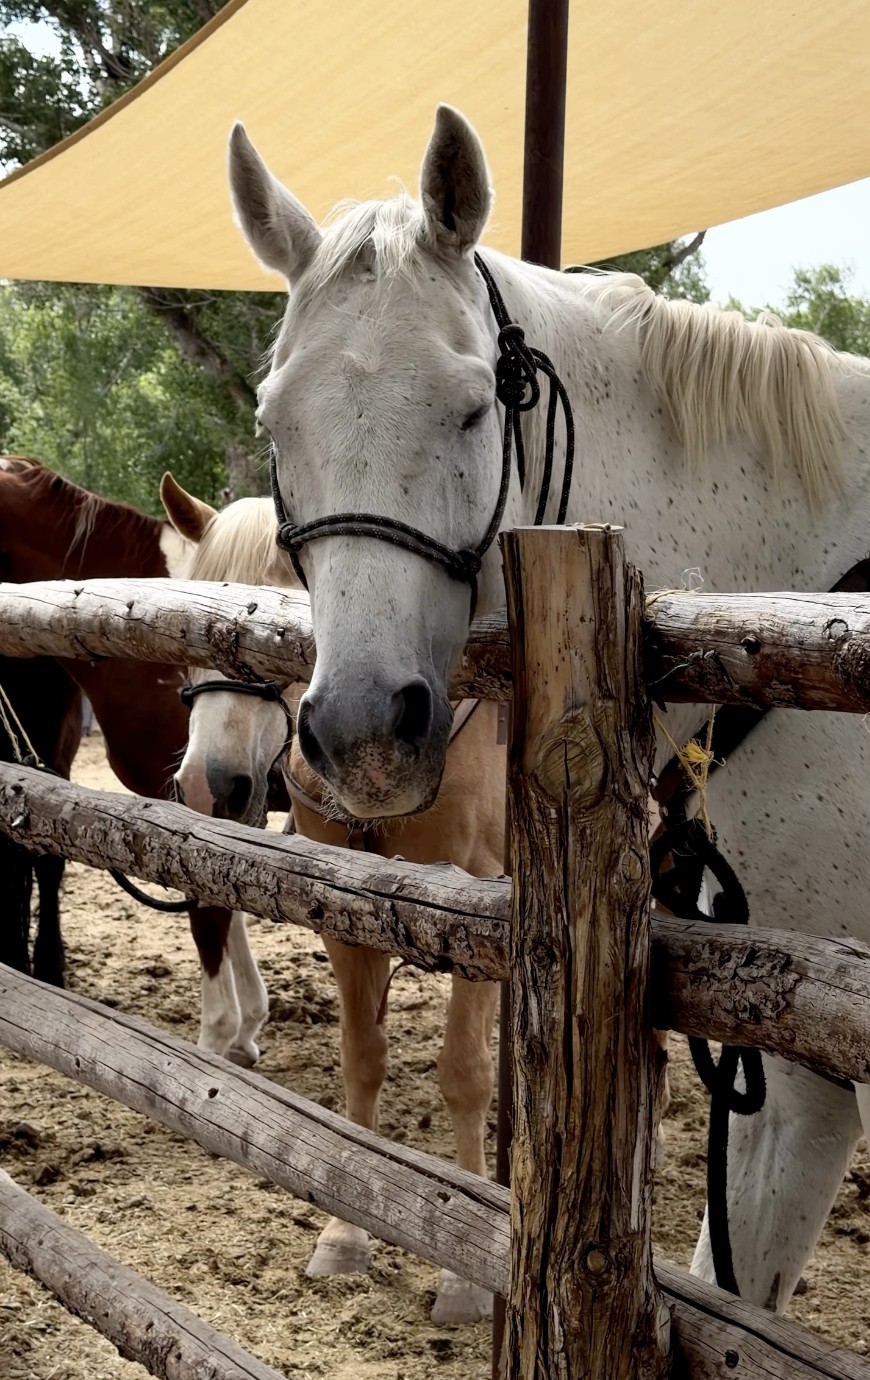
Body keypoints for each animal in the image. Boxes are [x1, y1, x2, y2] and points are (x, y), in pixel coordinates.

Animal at [161, 472, 504, 1325]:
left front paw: (465, 1277)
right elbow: (361, 1059)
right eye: (191, 609)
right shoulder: (343, 908)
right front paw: (346, 1236)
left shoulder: (479, 906)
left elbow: (464, 1073)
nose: (210, 787)